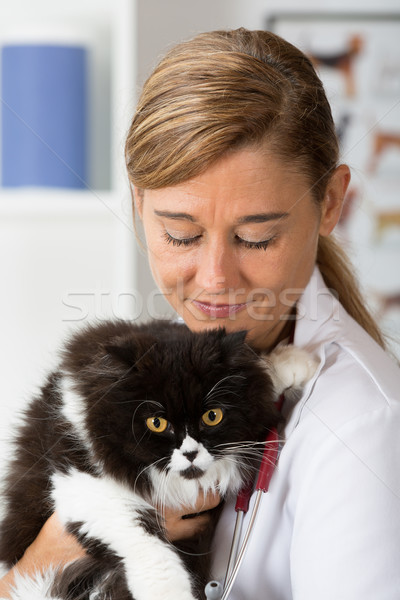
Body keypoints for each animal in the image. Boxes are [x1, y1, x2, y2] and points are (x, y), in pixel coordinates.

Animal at [0, 322, 318, 600]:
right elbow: (148, 547)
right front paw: (172, 594)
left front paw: (294, 362)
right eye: (156, 423)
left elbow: (260, 377)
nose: (190, 453)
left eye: (212, 416)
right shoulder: (87, 482)